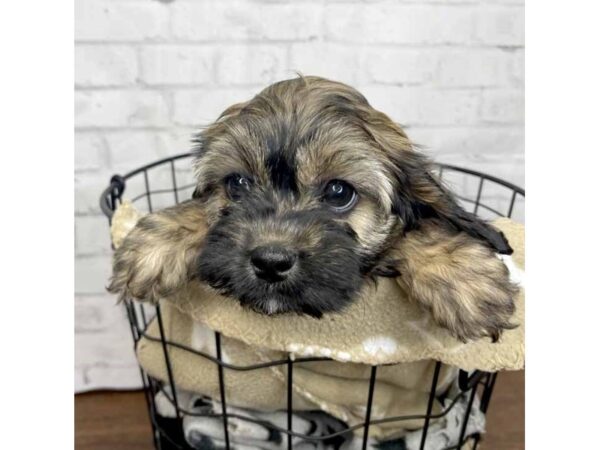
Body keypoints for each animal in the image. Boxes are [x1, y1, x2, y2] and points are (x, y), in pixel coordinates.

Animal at [110, 76, 516, 342]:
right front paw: (151, 247)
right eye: (237, 184)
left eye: (339, 192)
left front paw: (466, 280)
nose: (270, 261)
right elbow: (195, 210)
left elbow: (417, 231)